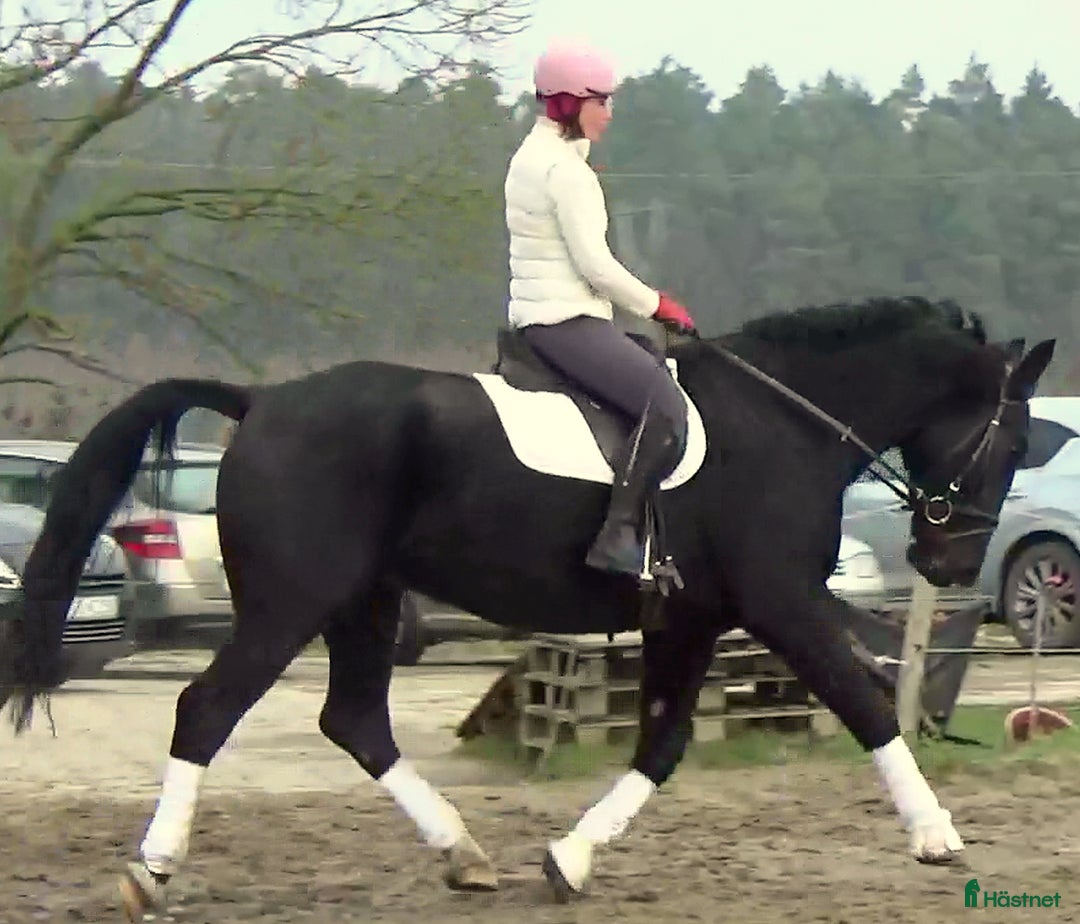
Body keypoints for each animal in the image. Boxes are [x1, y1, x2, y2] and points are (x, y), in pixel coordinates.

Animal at [0, 295, 1055, 921]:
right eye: (1010, 443)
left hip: (363, 602)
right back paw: (151, 871)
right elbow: (864, 702)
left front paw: (570, 861)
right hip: (291, 602)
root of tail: (261, 403)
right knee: (208, 710)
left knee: (356, 720)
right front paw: (937, 835)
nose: (949, 559)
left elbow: (662, 744)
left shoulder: (690, 618)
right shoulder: (780, 602)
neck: (785, 421)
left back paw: (465, 854)